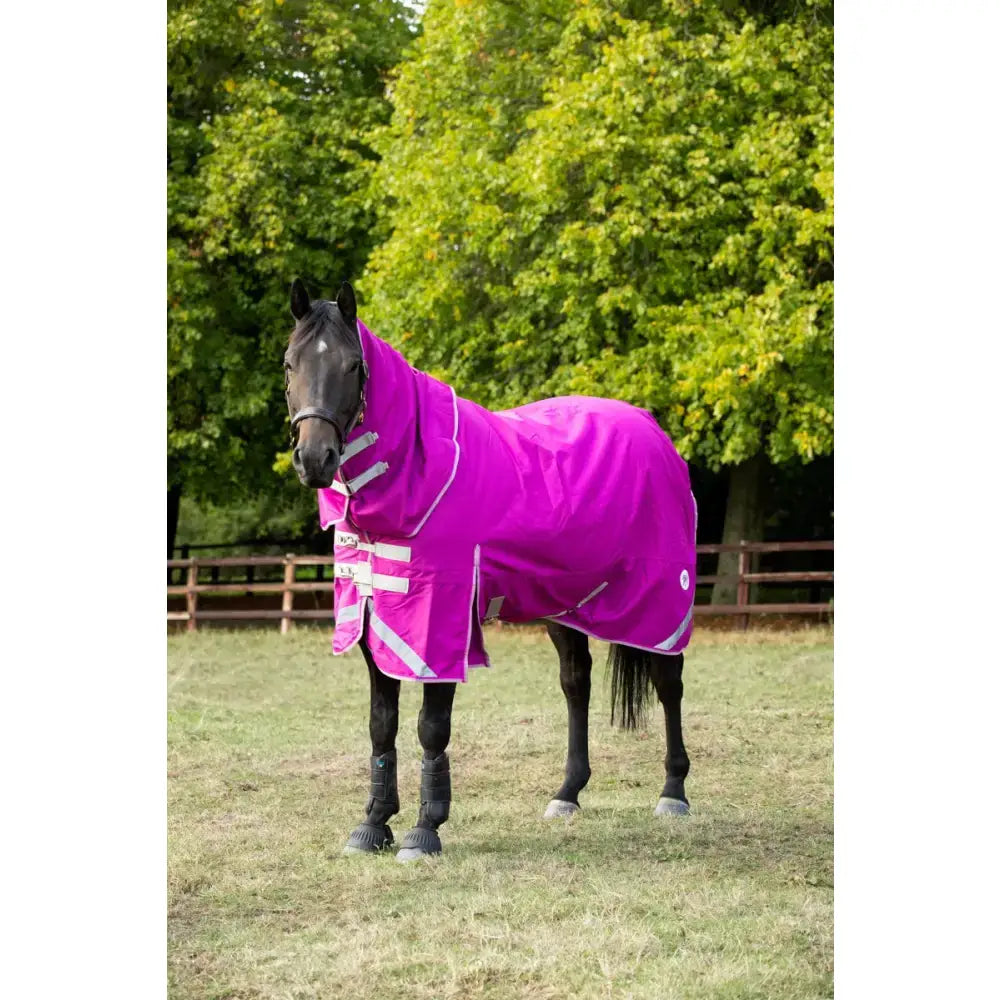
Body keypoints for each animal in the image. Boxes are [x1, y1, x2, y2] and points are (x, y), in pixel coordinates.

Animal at [284, 278, 695, 862]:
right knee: (577, 683)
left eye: (352, 366)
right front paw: (373, 825)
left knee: (668, 682)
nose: (315, 458)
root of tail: (654, 433)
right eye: (290, 364)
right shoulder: (370, 616)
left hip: (660, 602)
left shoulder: (436, 623)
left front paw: (424, 831)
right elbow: (381, 724)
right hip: (567, 607)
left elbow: (431, 727)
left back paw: (673, 791)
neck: (417, 470)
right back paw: (567, 793)